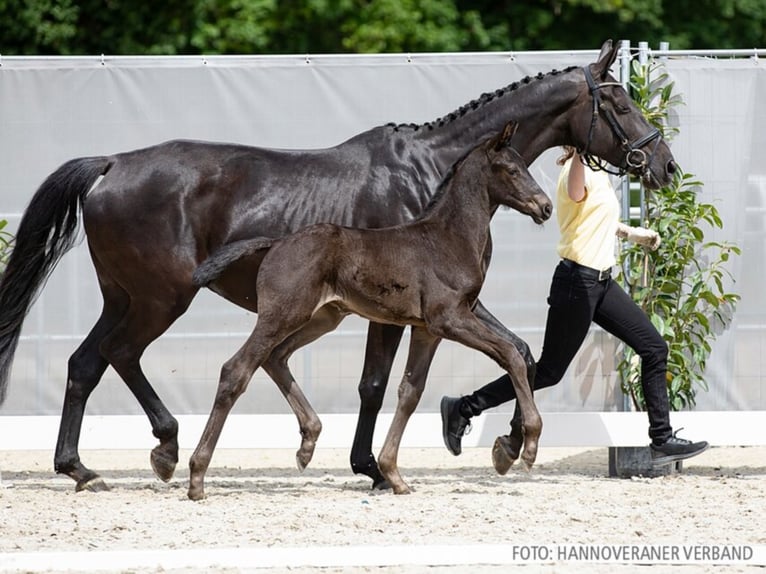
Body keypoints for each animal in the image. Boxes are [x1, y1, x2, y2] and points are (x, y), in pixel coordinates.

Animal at [189, 125, 556, 500]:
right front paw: (529, 446)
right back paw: (196, 476)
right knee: (236, 369)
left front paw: (393, 474)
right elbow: (510, 354)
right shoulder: (449, 319)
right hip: (281, 315)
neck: (447, 239)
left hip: (321, 318)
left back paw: (307, 444)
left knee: (275, 357)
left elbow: (410, 392)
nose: (545, 207)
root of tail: (275, 243)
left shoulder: (427, 330)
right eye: (512, 170)